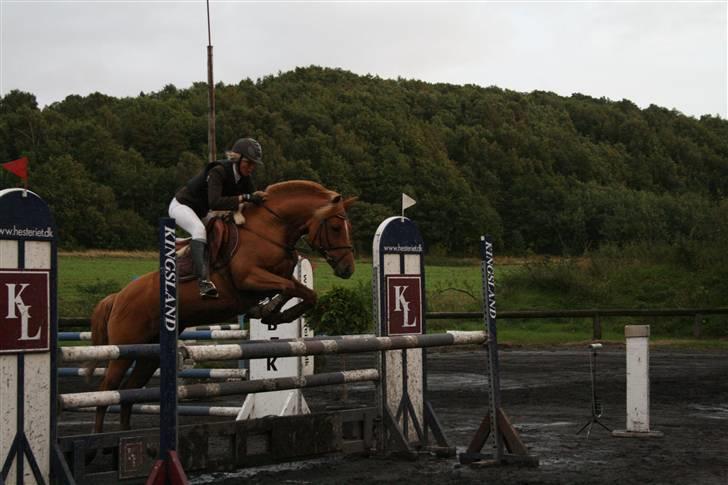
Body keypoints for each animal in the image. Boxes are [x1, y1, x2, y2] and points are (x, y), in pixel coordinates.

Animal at [84, 180, 356, 436]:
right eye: (335, 227)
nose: (347, 269)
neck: (269, 229)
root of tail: (118, 297)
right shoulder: (250, 278)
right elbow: (289, 287)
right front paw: (271, 312)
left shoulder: (277, 277)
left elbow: (305, 293)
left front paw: (273, 313)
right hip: (124, 348)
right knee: (107, 389)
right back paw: (98, 438)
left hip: (150, 353)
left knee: (130, 390)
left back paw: (125, 434)